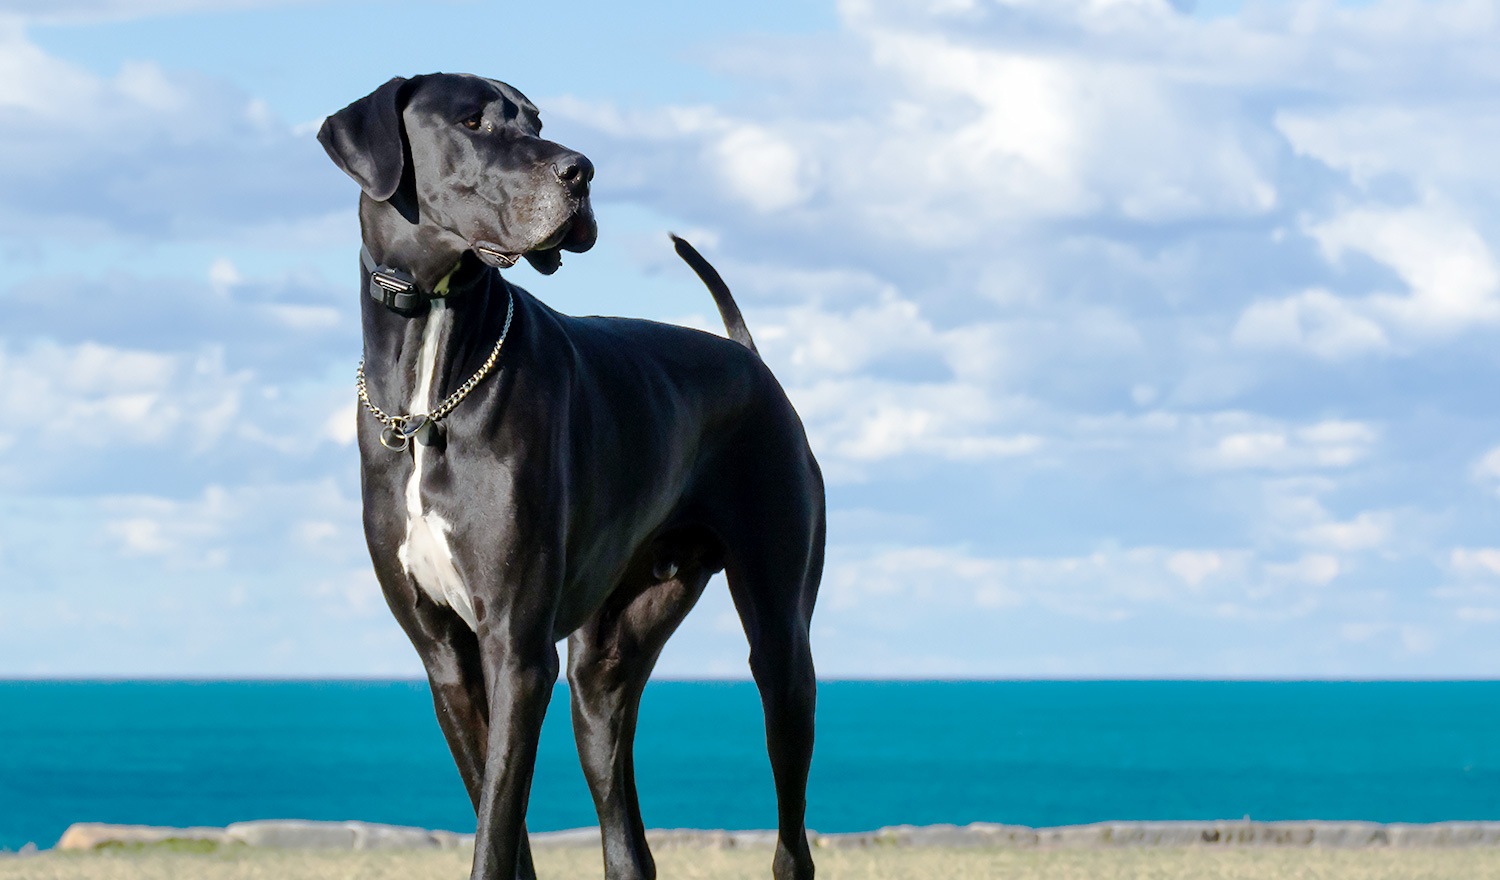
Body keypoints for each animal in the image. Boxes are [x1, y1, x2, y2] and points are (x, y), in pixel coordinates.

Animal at [318, 74, 828, 880]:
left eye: (535, 122)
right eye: (471, 122)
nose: (581, 171)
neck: (433, 372)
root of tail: (749, 359)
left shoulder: (518, 650)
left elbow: (496, 827)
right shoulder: (448, 659)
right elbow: (501, 823)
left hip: (781, 646)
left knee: (791, 834)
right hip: (603, 672)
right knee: (627, 841)